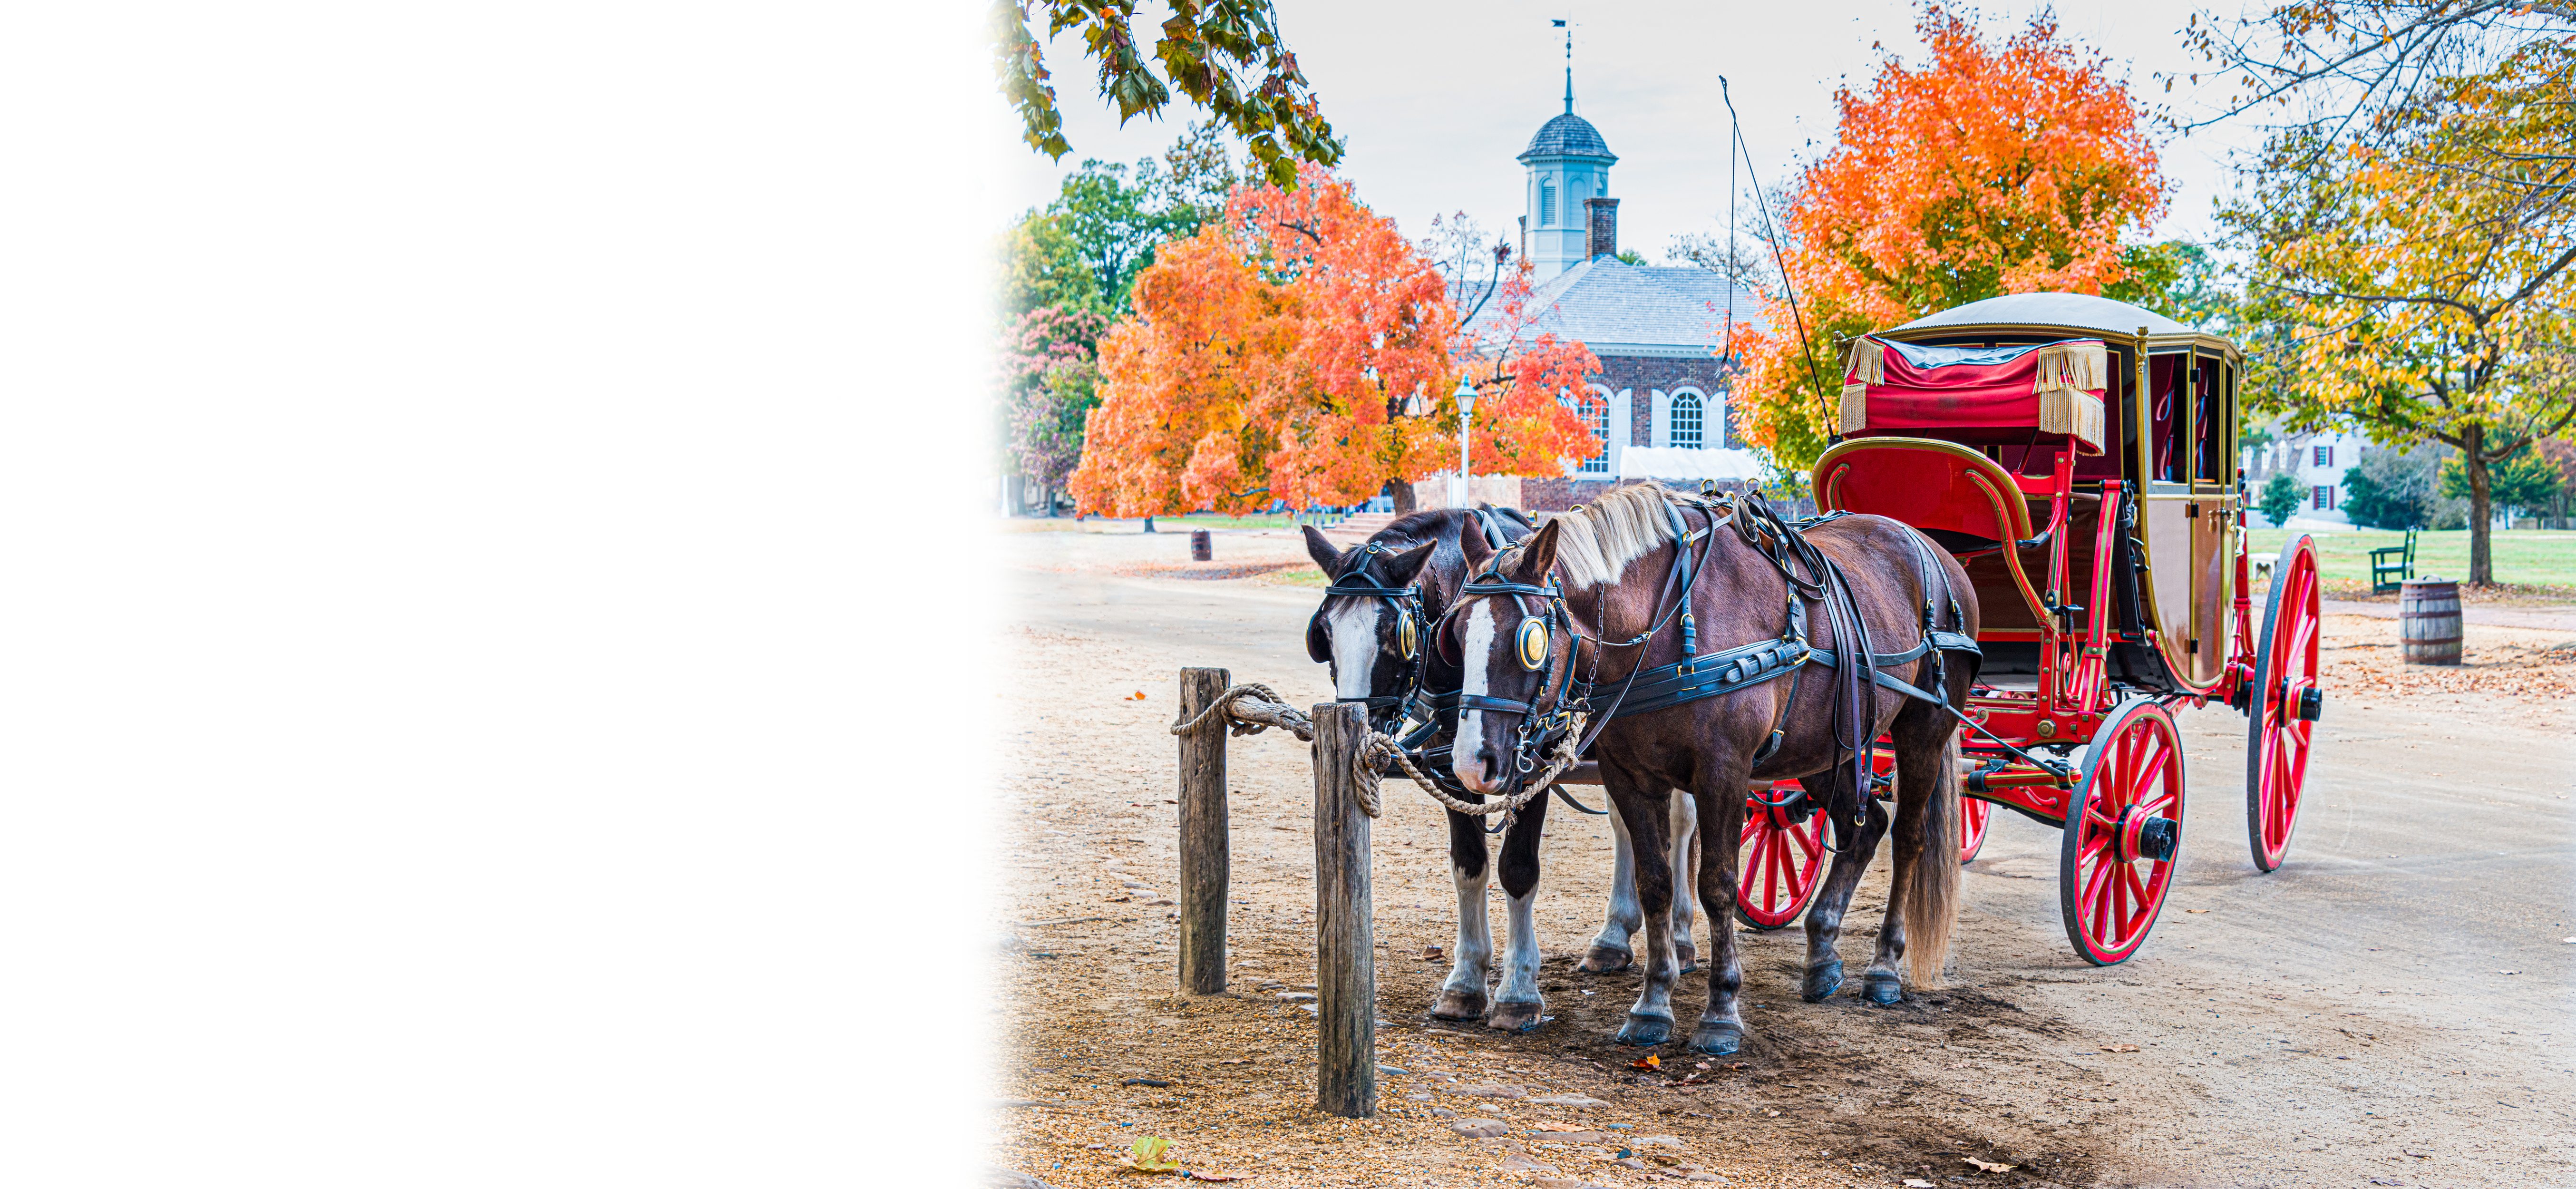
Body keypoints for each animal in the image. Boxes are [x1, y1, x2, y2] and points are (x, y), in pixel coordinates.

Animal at [1453, 481, 1968, 1050]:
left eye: (1528, 640)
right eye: (1455, 631)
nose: (1471, 762)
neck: (1666, 623)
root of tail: (1932, 549)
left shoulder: (1724, 772)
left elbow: (1717, 885)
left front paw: (1721, 1010)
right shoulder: (1628, 776)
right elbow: (1655, 883)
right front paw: (1653, 1002)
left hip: (1923, 732)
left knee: (1907, 839)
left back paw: (1883, 966)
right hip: (1826, 746)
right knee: (1864, 827)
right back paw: (1821, 951)